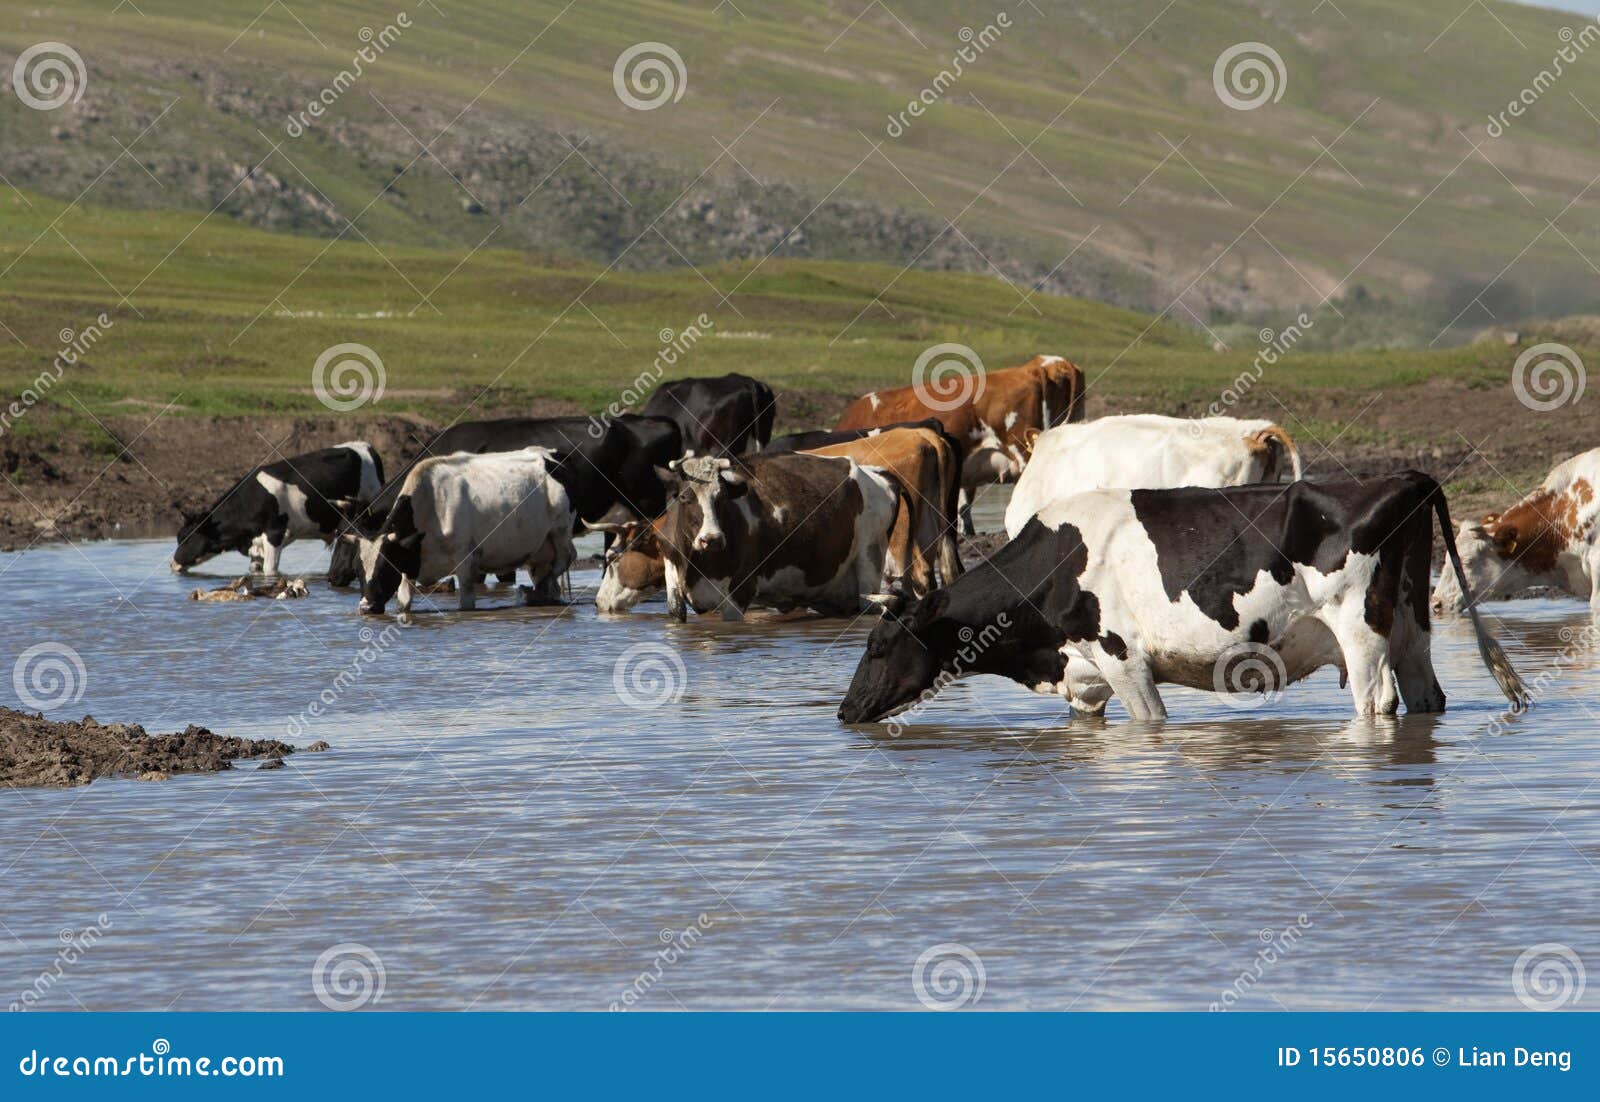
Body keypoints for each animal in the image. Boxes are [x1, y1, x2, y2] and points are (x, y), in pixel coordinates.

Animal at [172, 442, 384, 576]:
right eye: (178, 537)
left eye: (188, 538)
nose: (173, 564)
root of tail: (366, 447)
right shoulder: (255, 544)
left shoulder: (274, 534)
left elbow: (270, 570)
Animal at [357, 448, 577, 618]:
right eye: (359, 571)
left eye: (385, 567)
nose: (366, 607)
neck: (430, 506)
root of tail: (549, 455)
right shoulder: (409, 566)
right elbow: (403, 604)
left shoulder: (467, 562)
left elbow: (466, 605)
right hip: (539, 549)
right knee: (549, 577)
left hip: (561, 530)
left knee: (564, 559)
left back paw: (534, 592)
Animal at [657, 453, 900, 620]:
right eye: (685, 497)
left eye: (722, 497)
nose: (712, 539)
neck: (698, 564)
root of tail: (874, 473)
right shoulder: (673, 586)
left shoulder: (739, 593)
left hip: (870, 559)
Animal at [838, 472, 1529, 724]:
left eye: (877, 645)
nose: (844, 711)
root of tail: (1403, 477)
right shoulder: (1085, 678)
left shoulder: (1123, 658)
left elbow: (1151, 724)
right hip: (1412, 626)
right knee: (1427, 697)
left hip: (1361, 632)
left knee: (1376, 703)